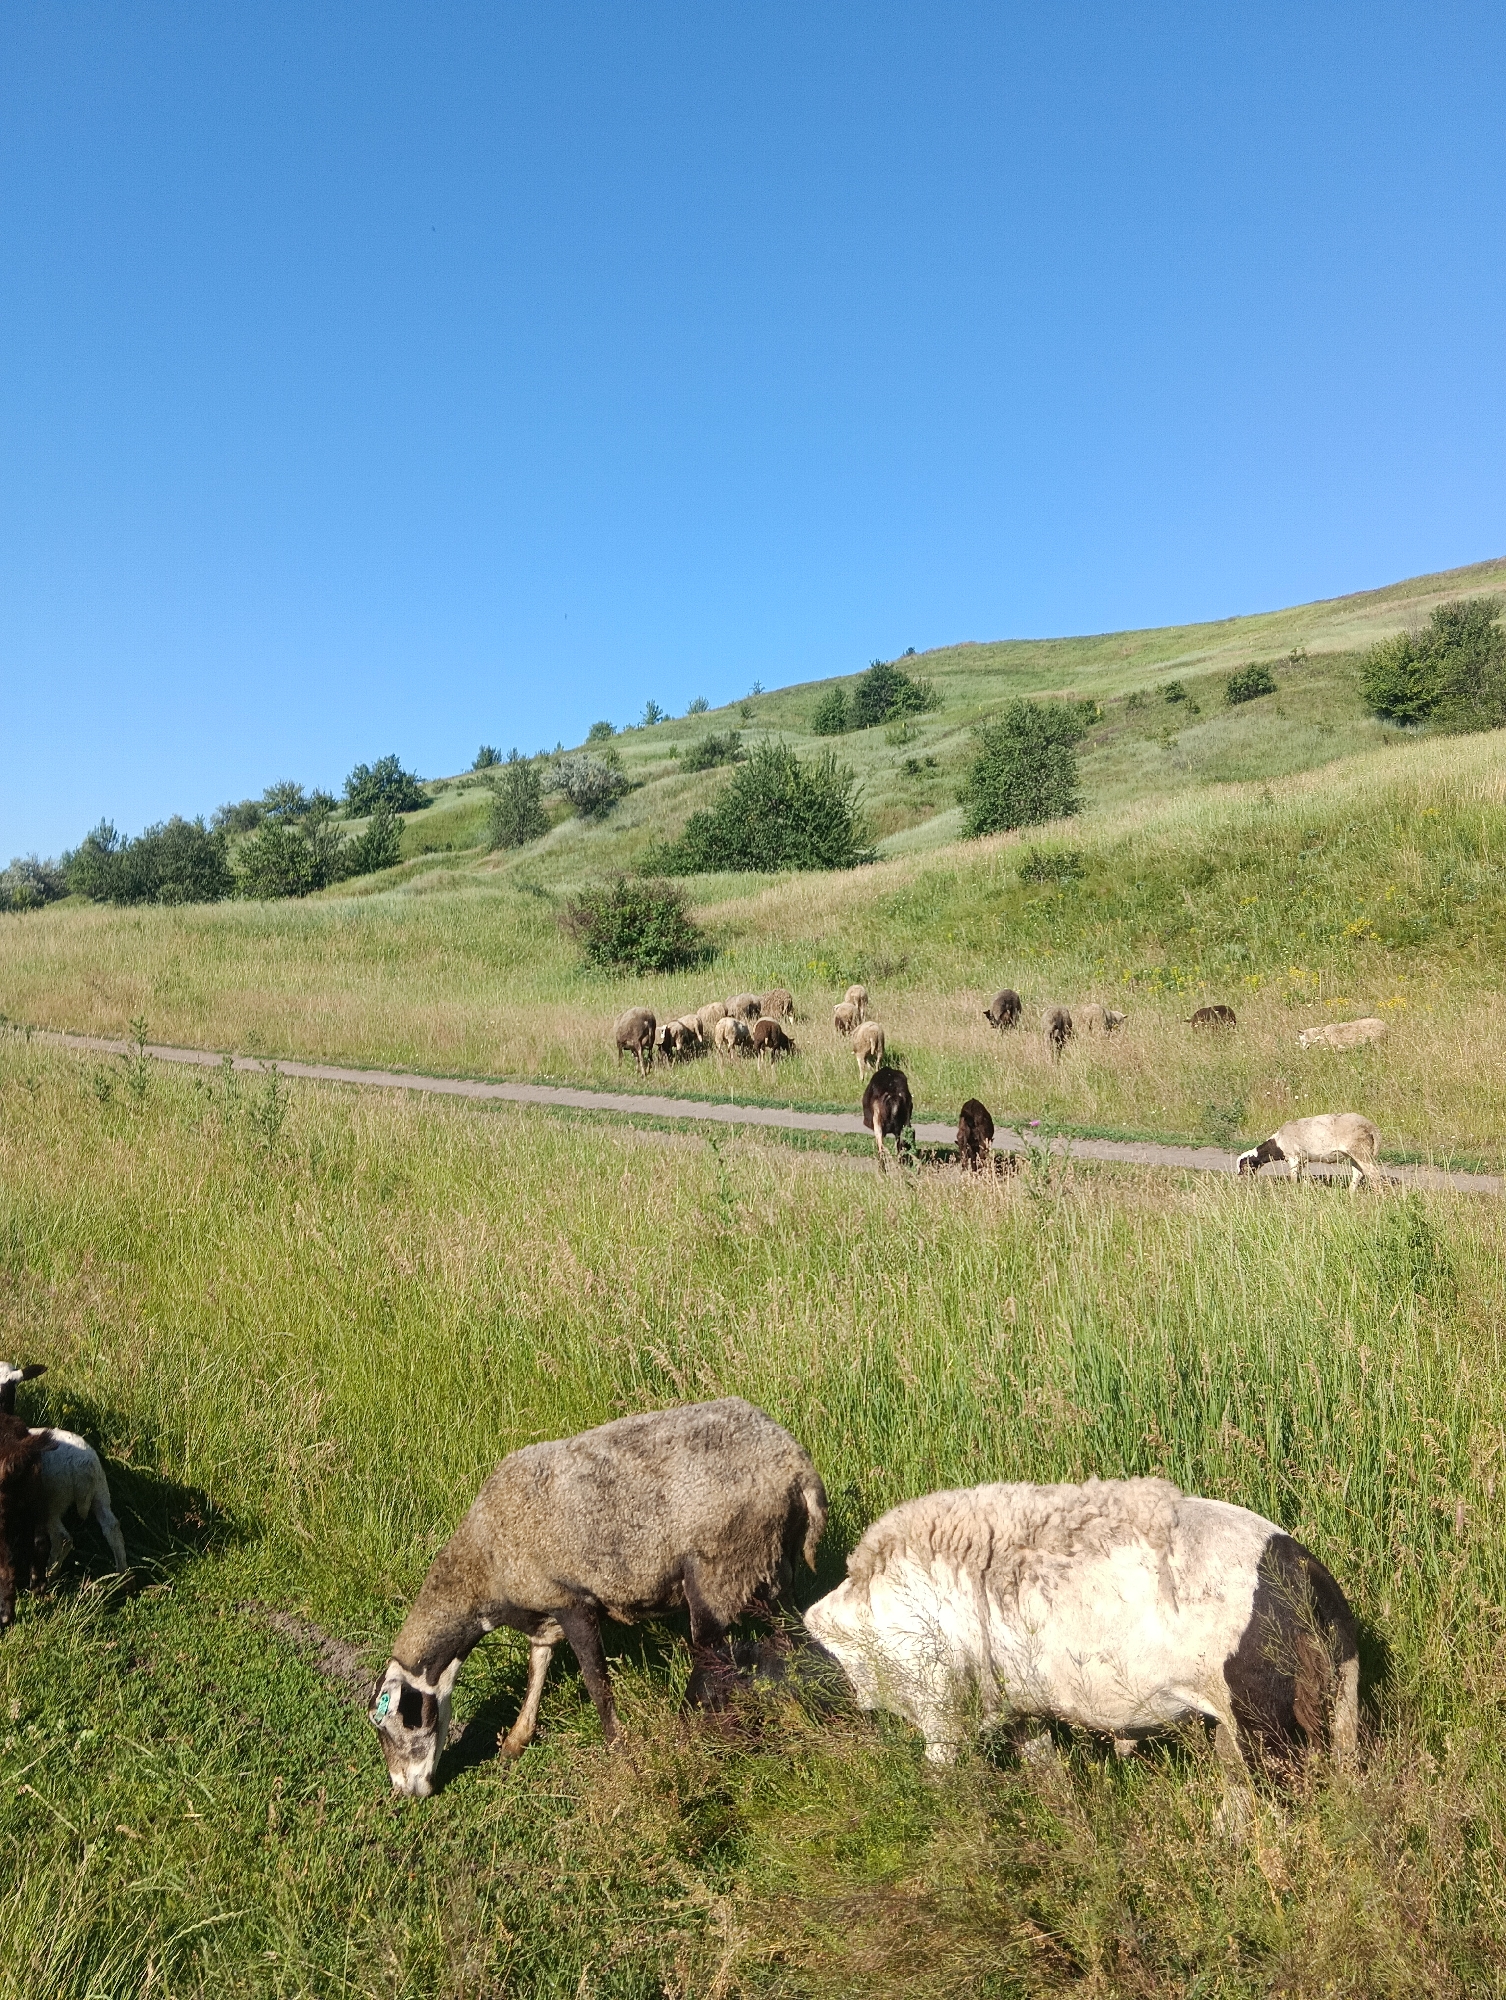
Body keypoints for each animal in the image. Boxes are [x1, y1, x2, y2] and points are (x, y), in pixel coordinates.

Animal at [31, 1428, 128, 1573]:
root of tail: (84, 1464)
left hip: (52, 1498)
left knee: (62, 1538)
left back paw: (50, 1572)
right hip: (100, 1490)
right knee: (112, 1526)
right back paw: (122, 1573)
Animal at [368, 1398, 828, 1796]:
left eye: (400, 1722)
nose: (406, 1791)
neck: (485, 1564)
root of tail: (798, 1468)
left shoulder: (573, 1603)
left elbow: (596, 1684)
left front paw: (620, 1753)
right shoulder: (545, 1604)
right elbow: (538, 1665)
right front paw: (517, 1740)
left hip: (719, 1571)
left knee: (712, 1661)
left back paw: (693, 1733)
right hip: (771, 1569)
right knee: (792, 1643)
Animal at [802, 1478, 1358, 1793]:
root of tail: (1306, 1575)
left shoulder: (940, 1708)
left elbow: (943, 1780)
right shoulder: (1021, 1709)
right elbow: (1046, 1772)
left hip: (1261, 1724)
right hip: (1328, 1702)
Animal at [1236, 1113, 1382, 1191]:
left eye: (1244, 1166)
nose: (1239, 1178)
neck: (1278, 1144)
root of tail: (1371, 1126)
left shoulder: (1293, 1157)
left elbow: (1293, 1177)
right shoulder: (1302, 1159)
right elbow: (1299, 1175)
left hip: (1360, 1151)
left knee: (1374, 1174)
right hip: (1354, 1154)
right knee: (1358, 1173)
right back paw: (1351, 1193)